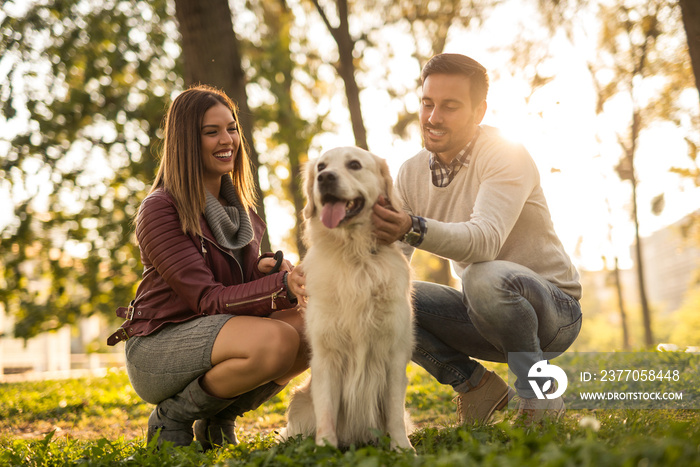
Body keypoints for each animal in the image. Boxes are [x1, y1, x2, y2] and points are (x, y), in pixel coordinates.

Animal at [278, 148, 412, 452]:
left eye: (354, 164)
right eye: (321, 167)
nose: (325, 178)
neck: (354, 255)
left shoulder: (395, 352)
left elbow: (394, 411)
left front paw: (402, 447)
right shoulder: (327, 354)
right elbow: (327, 410)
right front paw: (325, 447)